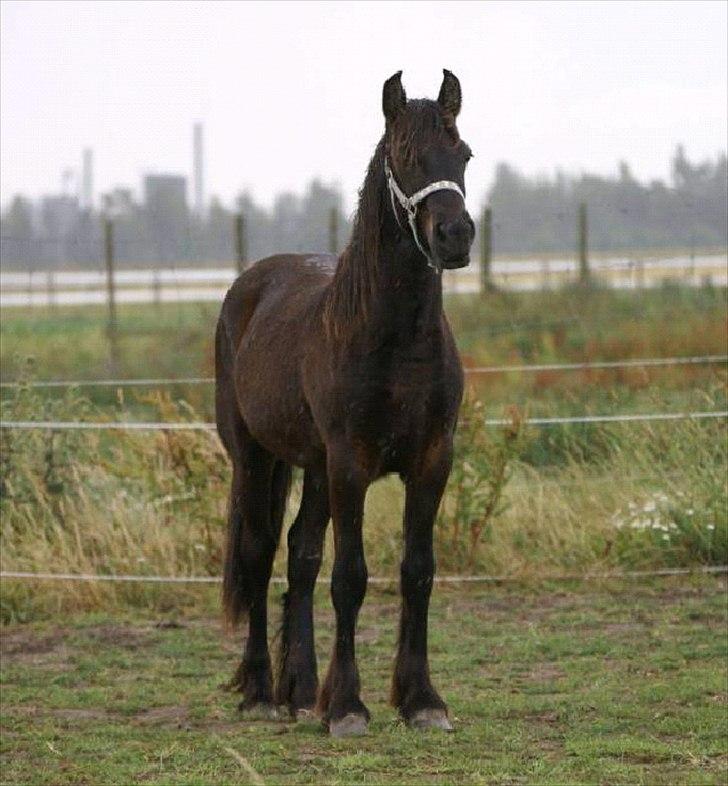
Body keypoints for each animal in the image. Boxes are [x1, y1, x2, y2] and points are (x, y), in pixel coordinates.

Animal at [215, 69, 475, 737]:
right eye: (405, 156)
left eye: (463, 154)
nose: (456, 237)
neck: (393, 339)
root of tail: (249, 286)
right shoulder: (351, 464)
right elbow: (351, 577)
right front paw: (350, 708)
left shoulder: (432, 461)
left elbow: (417, 571)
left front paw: (421, 700)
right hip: (255, 457)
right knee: (258, 554)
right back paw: (261, 691)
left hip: (313, 468)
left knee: (300, 556)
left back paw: (302, 689)